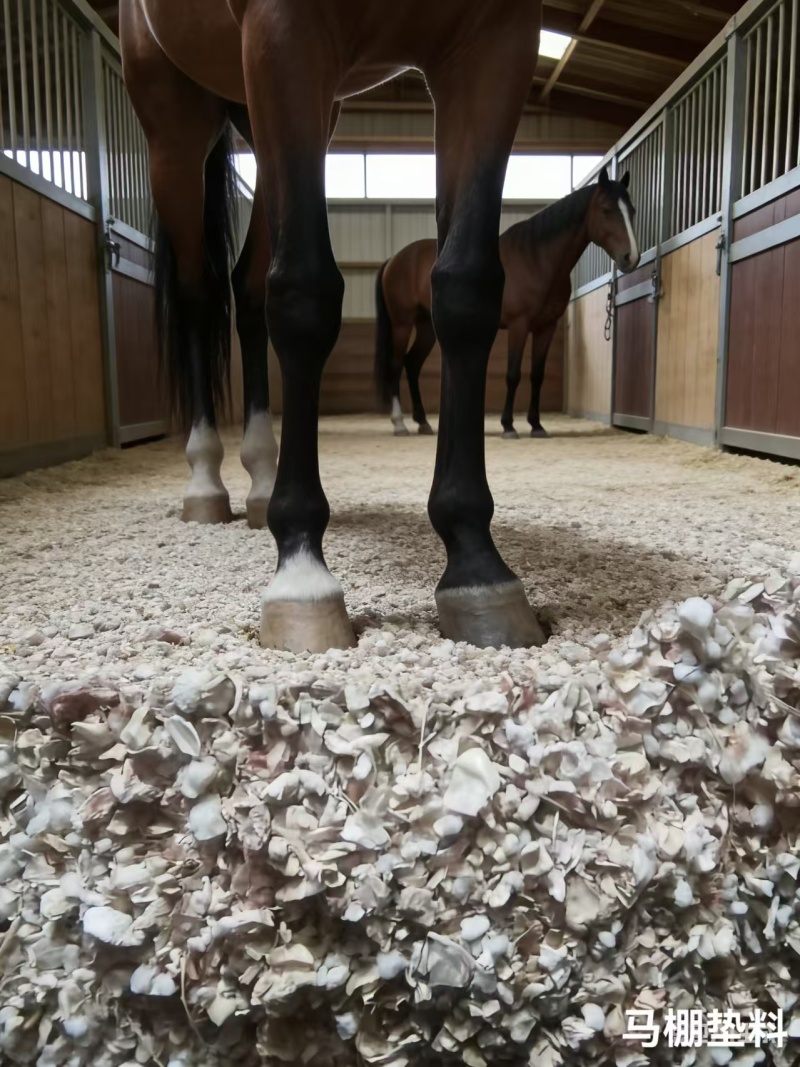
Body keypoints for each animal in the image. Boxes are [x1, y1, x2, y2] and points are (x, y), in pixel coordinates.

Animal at [120, 0, 547, 655]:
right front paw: (301, 571)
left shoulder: (496, 41)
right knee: (201, 296)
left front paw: (476, 564)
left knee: (248, 291)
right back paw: (206, 481)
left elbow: (467, 289)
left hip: (268, 109)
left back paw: (261, 481)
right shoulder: (284, 28)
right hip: (176, 120)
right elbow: (304, 292)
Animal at [374, 169, 640, 440]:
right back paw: (400, 424)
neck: (537, 259)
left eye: (631, 210)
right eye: (607, 210)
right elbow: (513, 375)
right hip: (402, 324)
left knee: (412, 365)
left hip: (426, 326)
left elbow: (537, 375)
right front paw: (508, 425)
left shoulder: (546, 327)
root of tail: (395, 259)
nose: (631, 257)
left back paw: (423, 422)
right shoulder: (519, 325)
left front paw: (536, 425)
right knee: (396, 365)